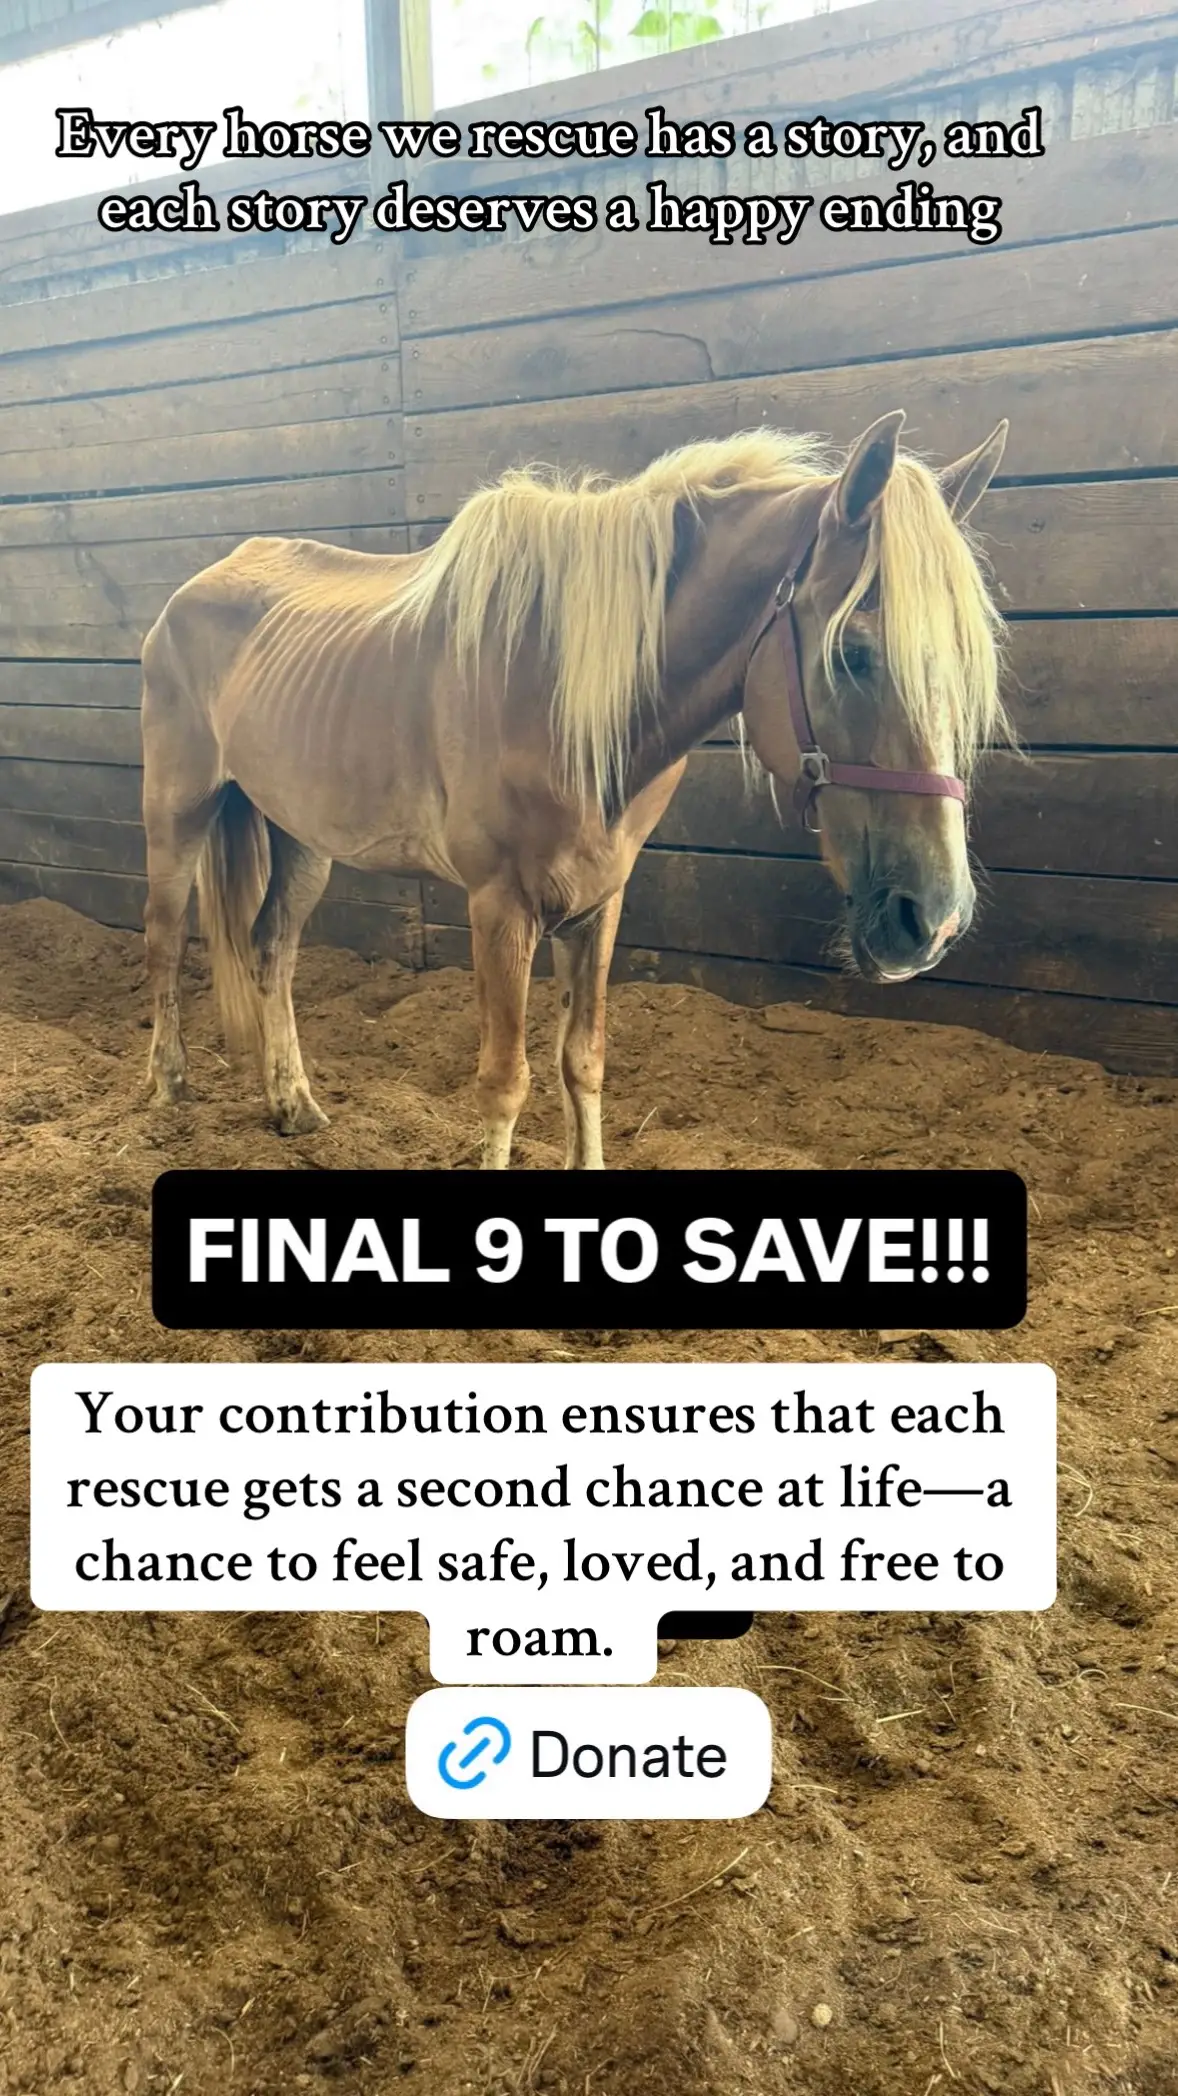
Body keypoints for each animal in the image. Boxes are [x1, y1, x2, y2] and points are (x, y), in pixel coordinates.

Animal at [140, 408, 1009, 1169]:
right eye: (853, 653)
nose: (933, 919)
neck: (564, 691)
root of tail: (191, 592)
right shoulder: (500, 907)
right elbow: (504, 1082)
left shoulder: (598, 902)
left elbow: (582, 1061)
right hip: (177, 811)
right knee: (165, 935)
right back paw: (164, 1087)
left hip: (302, 836)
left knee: (271, 948)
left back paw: (292, 1104)